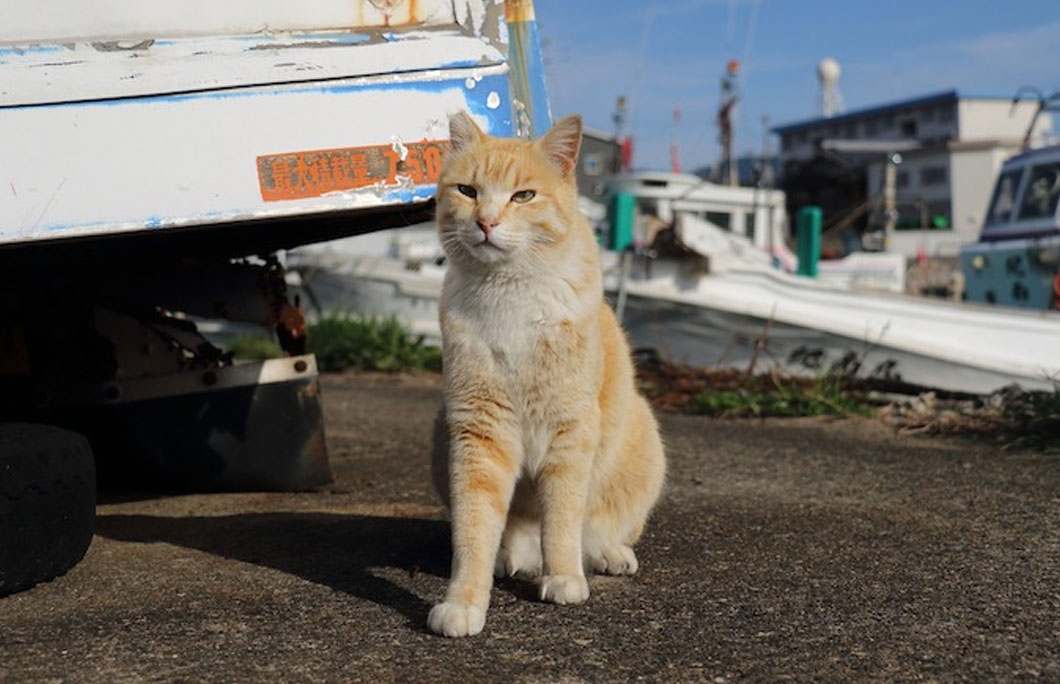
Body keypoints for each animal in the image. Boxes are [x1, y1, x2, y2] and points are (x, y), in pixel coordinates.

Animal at [428, 110, 661, 636]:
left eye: (523, 196)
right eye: (468, 191)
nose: (486, 221)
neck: (510, 293)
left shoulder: (569, 430)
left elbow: (562, 517)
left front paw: (563, 577)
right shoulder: (479, 432)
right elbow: (474, 529)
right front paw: (465, 600)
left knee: (595, 530)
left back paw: (605, 554)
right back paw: (508, 557)